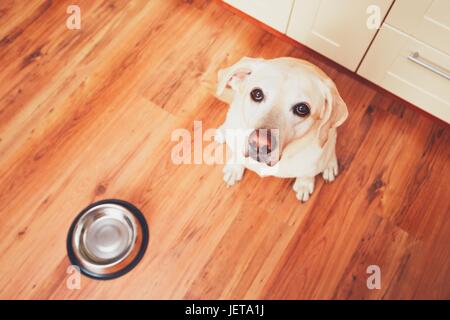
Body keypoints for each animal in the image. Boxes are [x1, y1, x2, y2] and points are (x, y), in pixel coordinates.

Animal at [214, 56, 348, 201]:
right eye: (257, 93)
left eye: (302, 109)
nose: (259, 144)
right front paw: (234, 168)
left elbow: (307, 173)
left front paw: (304, 184)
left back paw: (330, 165)